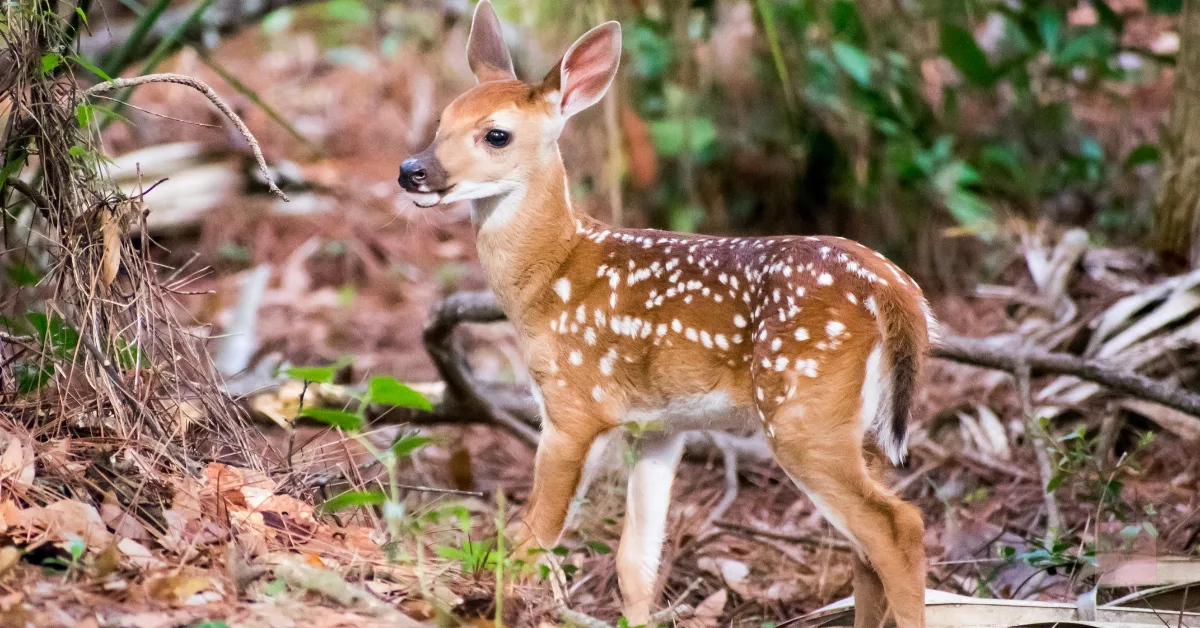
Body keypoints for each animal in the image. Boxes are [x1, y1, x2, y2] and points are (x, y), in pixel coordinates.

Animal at [398, 2, 934, 626]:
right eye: (442, 120)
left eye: (496, 134)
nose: (411, 170)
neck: (551, 275)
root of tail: (899, 292)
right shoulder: (659, 427)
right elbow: (636, 564)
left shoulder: (573, 404)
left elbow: (533, 536)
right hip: (861, 424)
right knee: (866, 546)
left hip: (804, 409)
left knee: (897, 527)